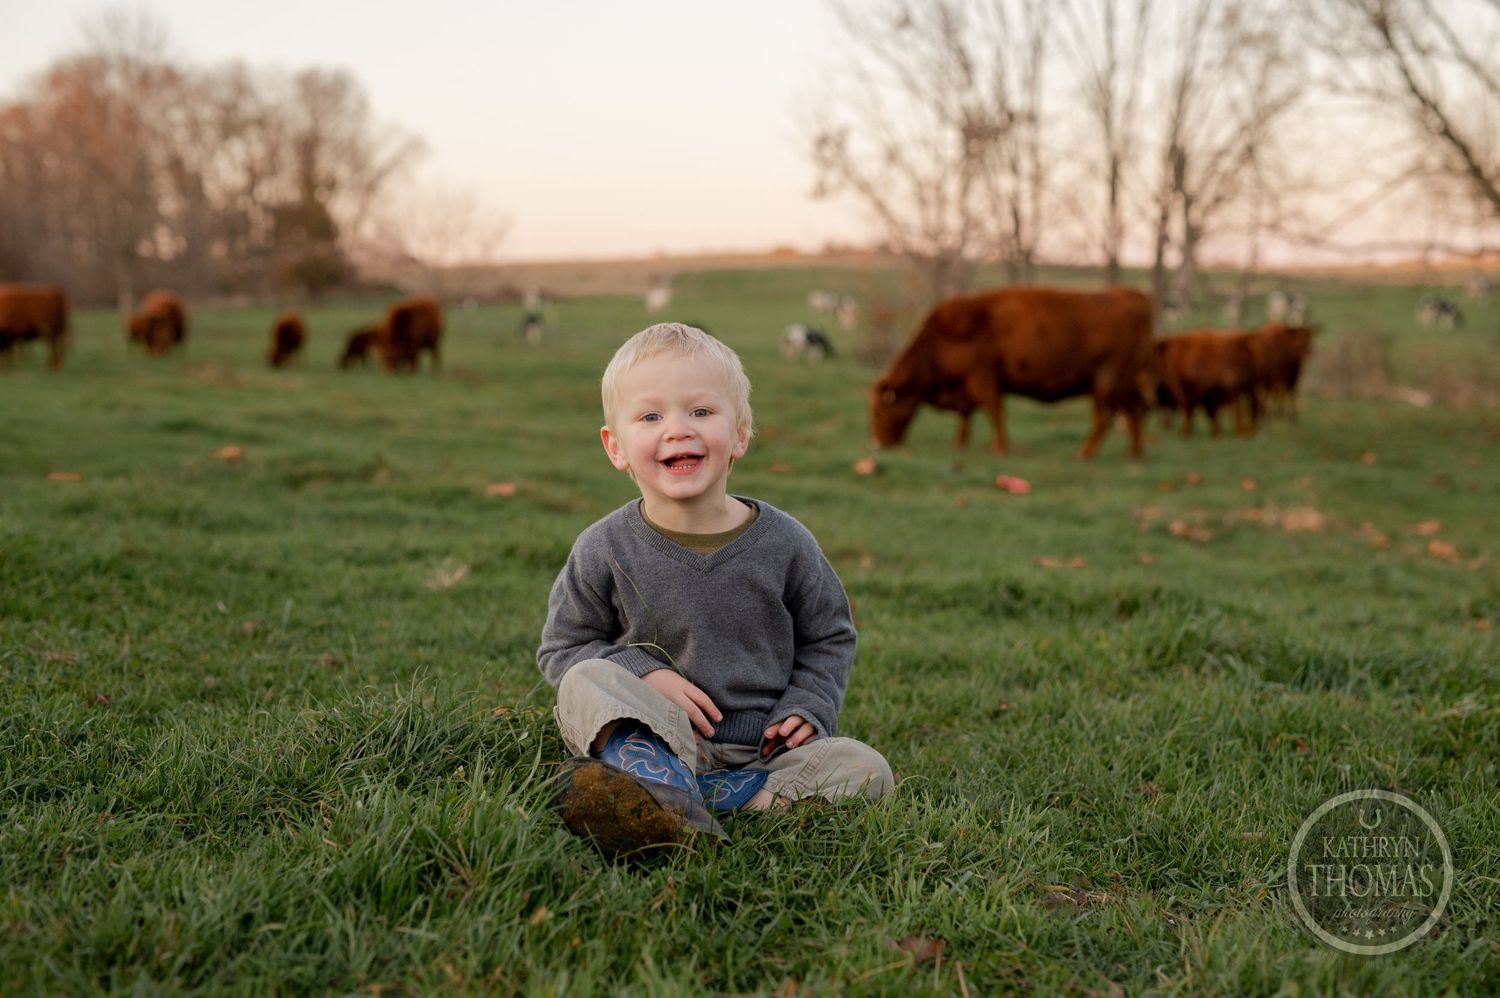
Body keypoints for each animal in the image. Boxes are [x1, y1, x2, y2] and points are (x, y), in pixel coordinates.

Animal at [870, 286, 1155, 459]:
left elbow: (995, 413)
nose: (879, 444)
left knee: (1106, 416)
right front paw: (959, 444)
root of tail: (1130, 294)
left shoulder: (982, 379)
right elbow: (966, 417)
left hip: (1107, 381)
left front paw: (1000, 448)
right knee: (1134, 412)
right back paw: (1135, 453)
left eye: (881, 410)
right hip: (1126, 383)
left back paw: (1084, 453)